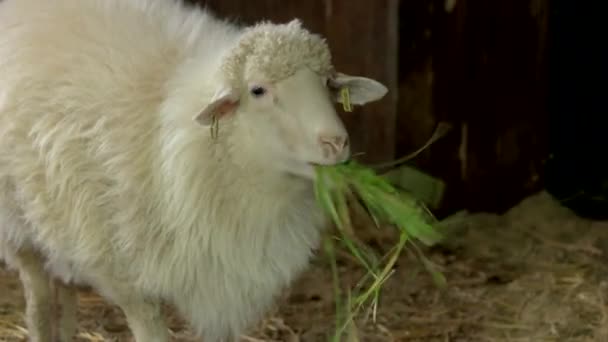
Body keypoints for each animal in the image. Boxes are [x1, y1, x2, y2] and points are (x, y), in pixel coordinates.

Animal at [0, 0, 390, 340]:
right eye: (258, 90)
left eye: (328, 83)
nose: (336, 142)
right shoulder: (131, 282)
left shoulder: (222, 285)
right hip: (19, 228)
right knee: (40, 301)